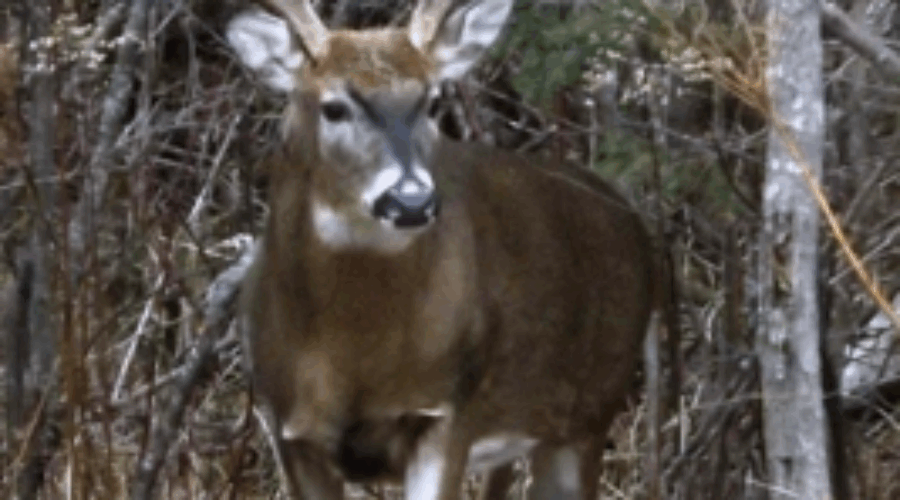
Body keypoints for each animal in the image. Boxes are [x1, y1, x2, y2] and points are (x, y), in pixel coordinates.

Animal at [227, 0, 655, 498]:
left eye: (432, 102)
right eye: (333, 107)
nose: (411, 200)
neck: (350, 358)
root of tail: (633, 218)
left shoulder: (446, 410)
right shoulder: (290, 430)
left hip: (590, 414)